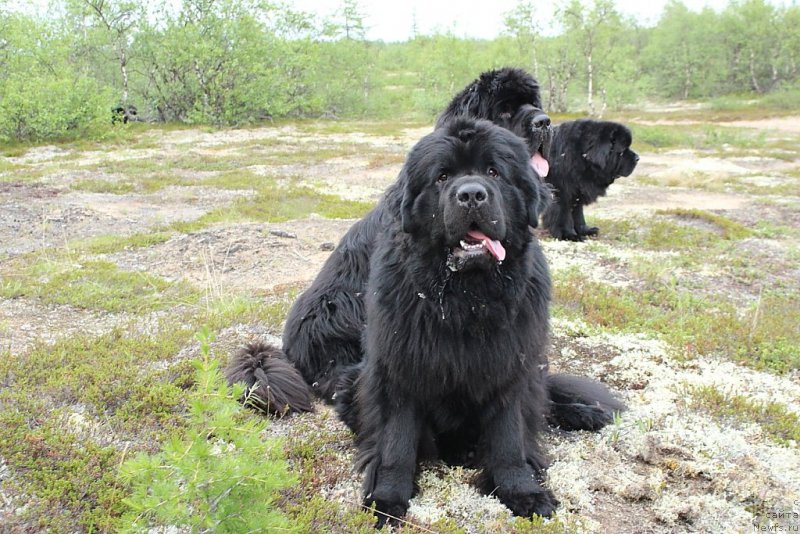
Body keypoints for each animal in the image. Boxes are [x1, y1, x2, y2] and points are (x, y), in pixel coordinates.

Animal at [227, 118, 624, 528]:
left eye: (494, 172)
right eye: (442, 176)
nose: (471, 195)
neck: (466, 299)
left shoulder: (513, 364)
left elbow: (510, 437)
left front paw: (523, 491)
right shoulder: (398, 370)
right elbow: (396, 443)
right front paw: (387, 499)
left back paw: (585, 412)